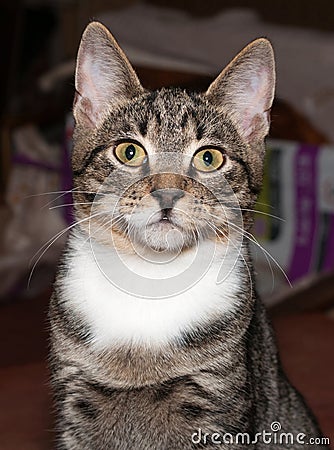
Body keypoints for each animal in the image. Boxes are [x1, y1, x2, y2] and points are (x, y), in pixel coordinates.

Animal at [49, 21, 328, 450]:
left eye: (209, 157)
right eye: (128, 152)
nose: (167, 192)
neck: (150, 279)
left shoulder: (217, 403)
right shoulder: (75, 402)